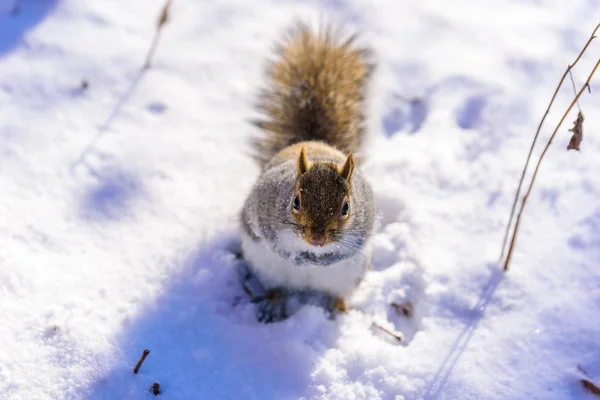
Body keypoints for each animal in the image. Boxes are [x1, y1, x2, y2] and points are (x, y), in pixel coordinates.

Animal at [239, 21, 376, 322]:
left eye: (346, 208)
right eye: (296, 201)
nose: (317, 240)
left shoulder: (364, 225)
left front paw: (323, 258)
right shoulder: (264, 213)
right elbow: (275, 243)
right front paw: (298, 258)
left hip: (349, 277)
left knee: (337, 296)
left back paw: (339, 312)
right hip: (266, 269)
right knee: (277, 290)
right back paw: (272, 308)